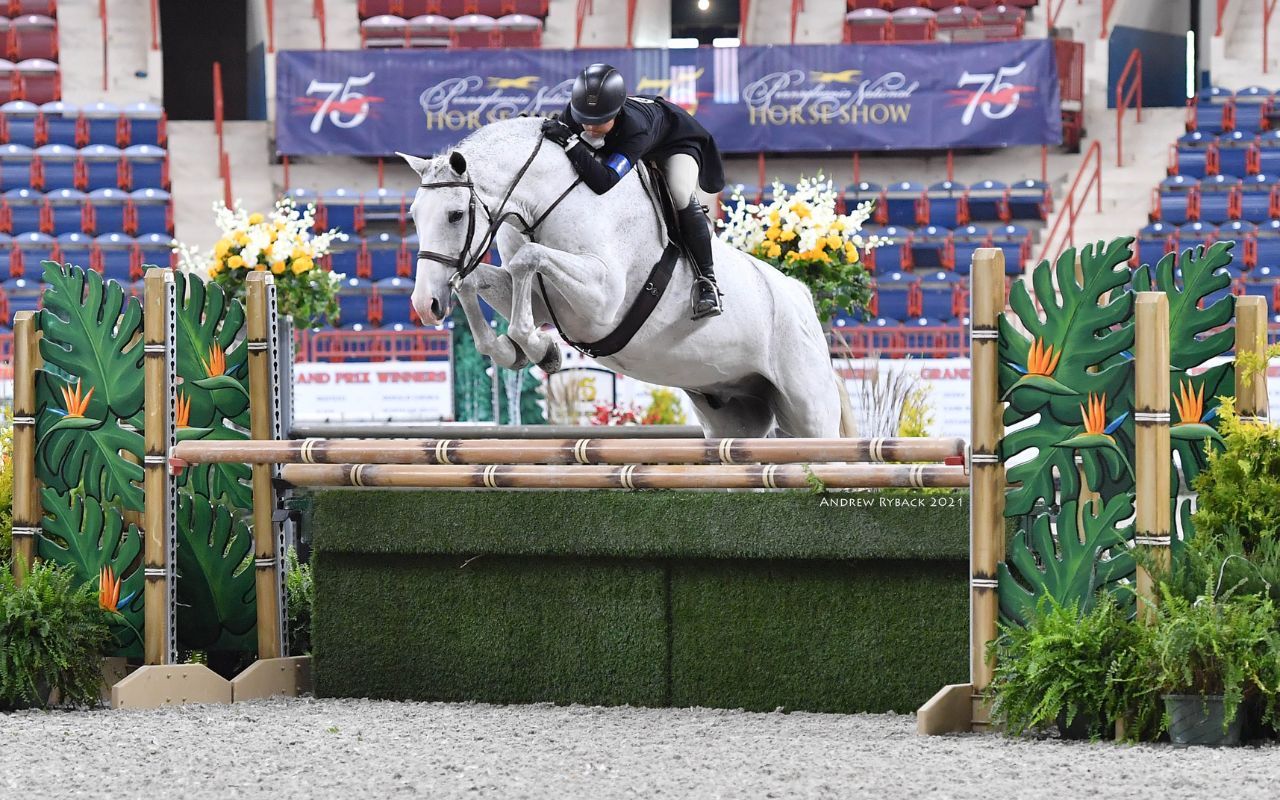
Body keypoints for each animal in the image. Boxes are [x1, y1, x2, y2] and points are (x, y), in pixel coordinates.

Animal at [404, 117, 855, 437]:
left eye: (455, 215)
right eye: (413, 214)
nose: (426, 306)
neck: (546, 201)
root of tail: (803, 297)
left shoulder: (601, 304)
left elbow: (526, 261)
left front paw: (539, 350)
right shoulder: (542, 301)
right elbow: (474, 281)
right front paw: (513, 351)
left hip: (808, 412)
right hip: (734, 417)